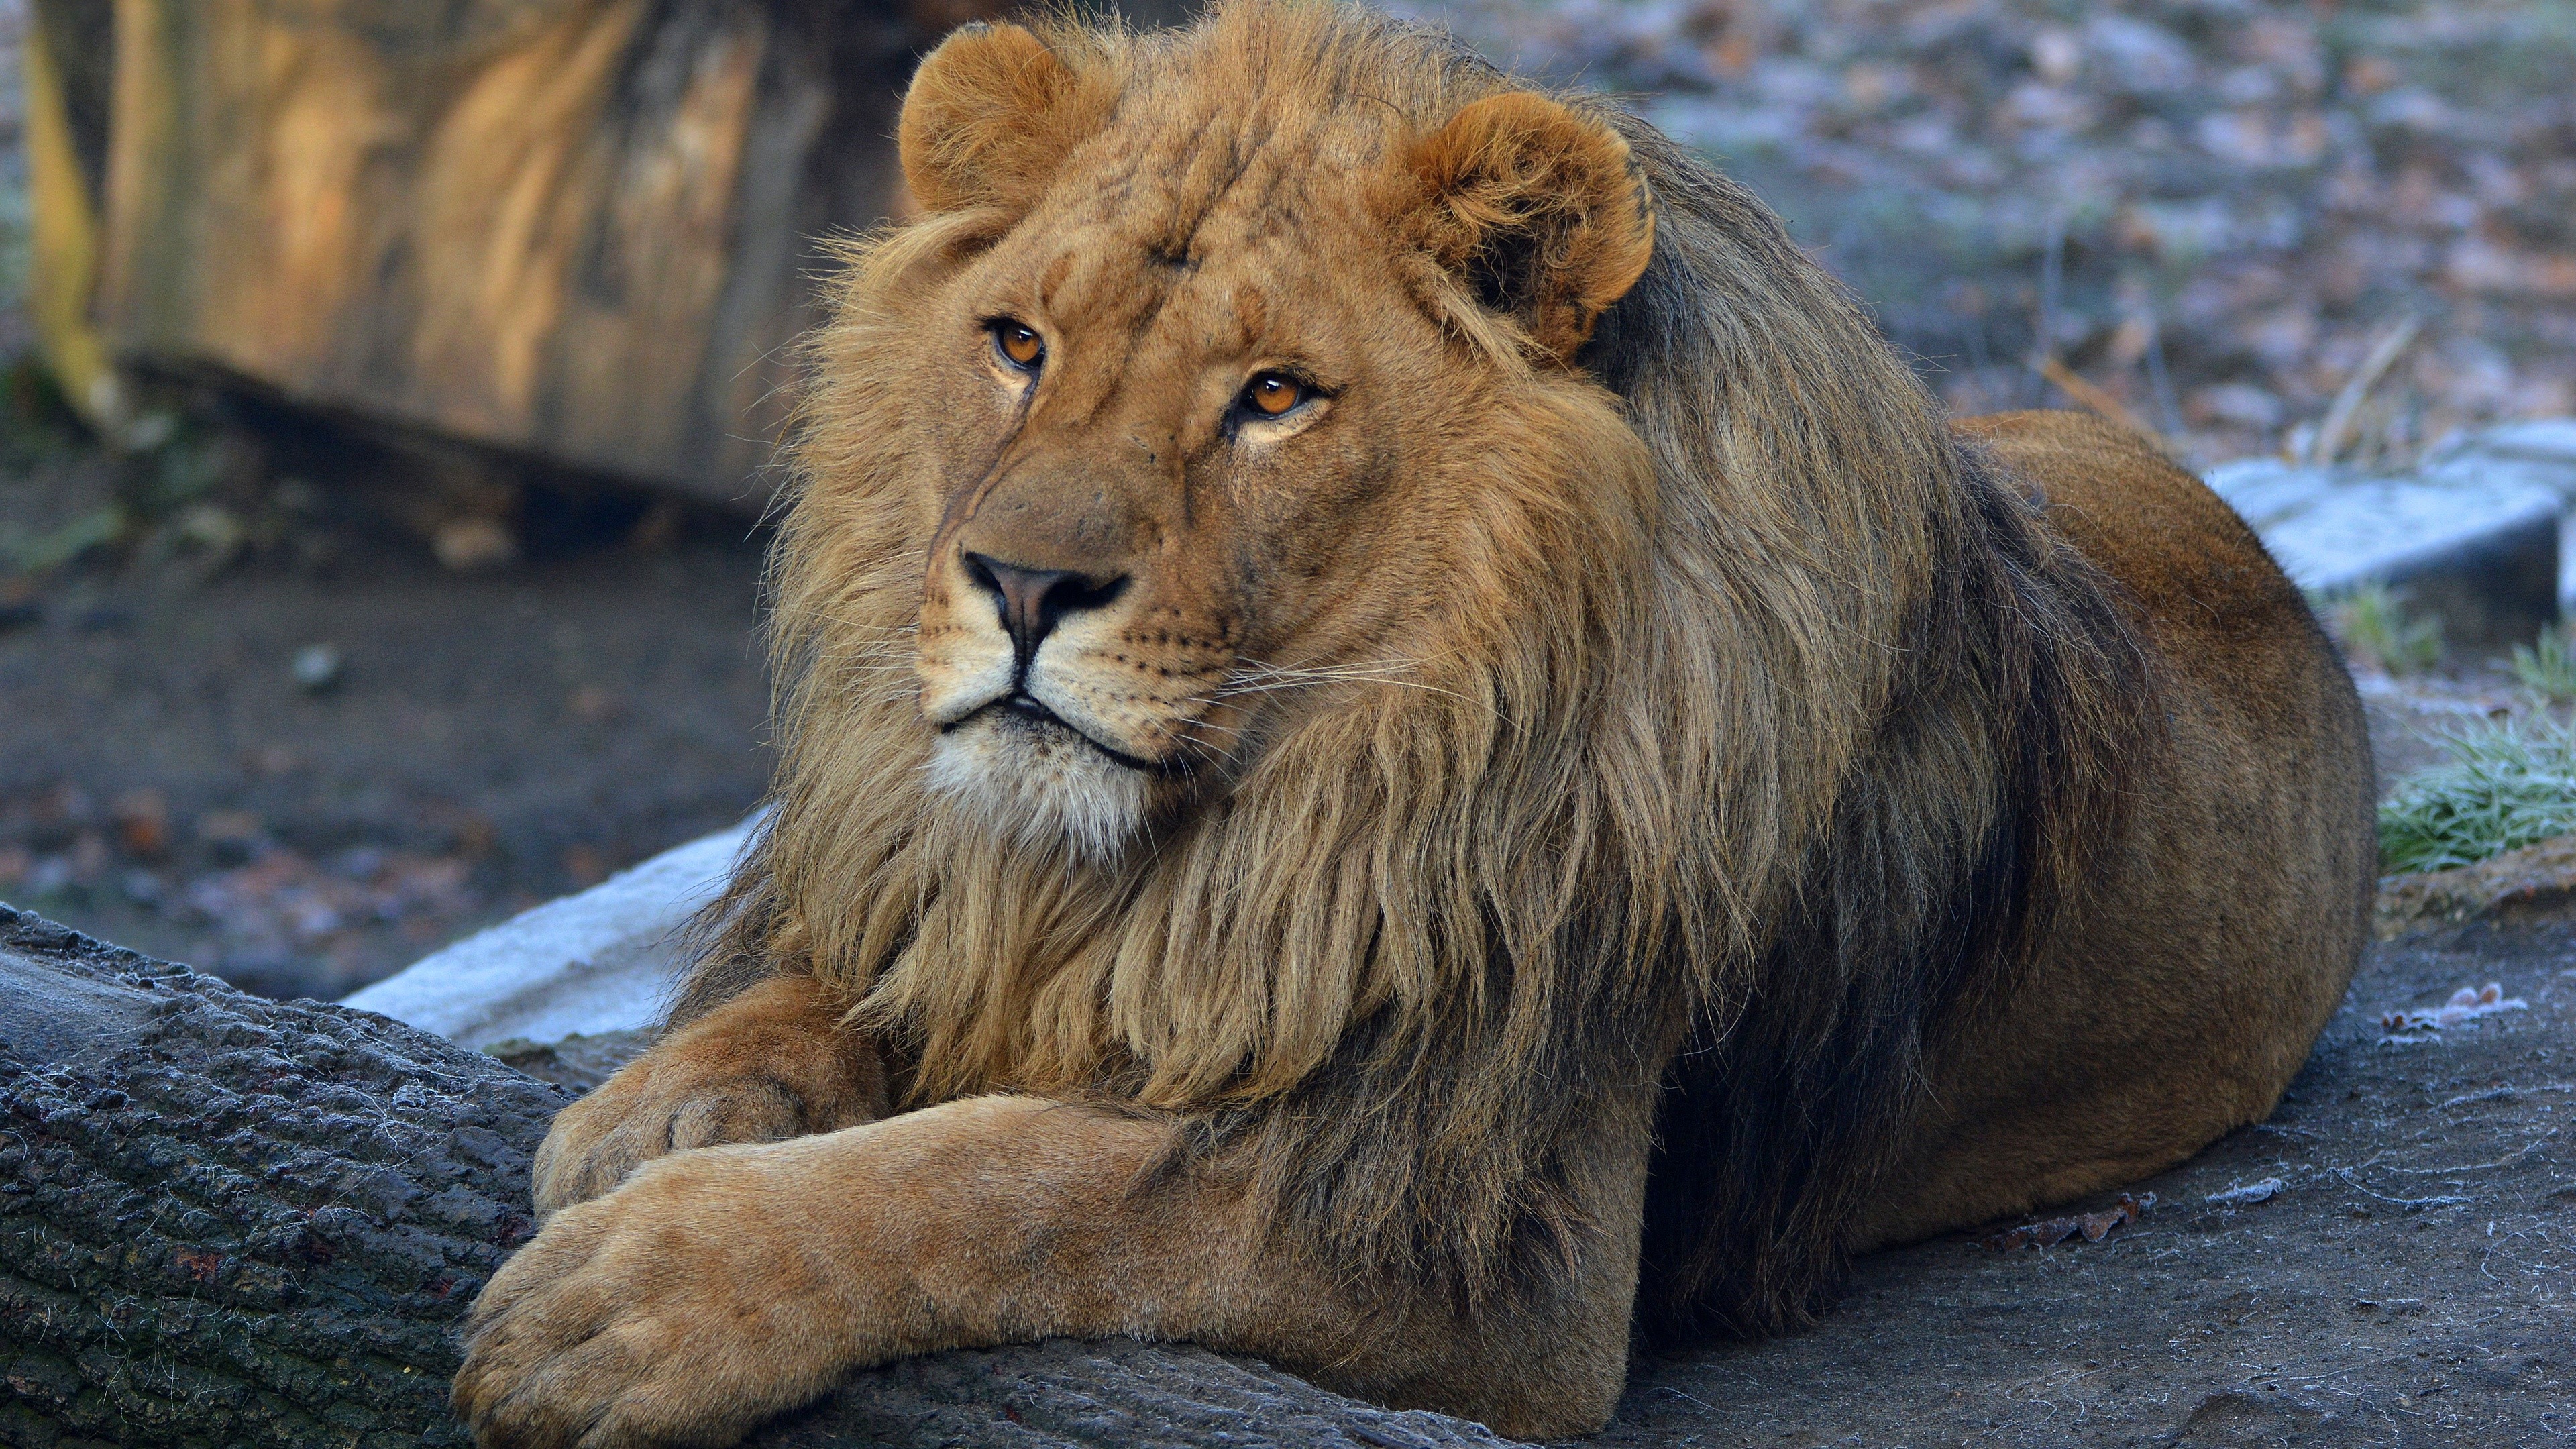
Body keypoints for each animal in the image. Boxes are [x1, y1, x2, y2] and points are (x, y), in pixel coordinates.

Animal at [452, 3, 2374, 1443]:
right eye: (1016, 343)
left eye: (1274, 399)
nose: (1018, 584)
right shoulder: (959, 897)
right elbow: (835, 980)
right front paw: (656, 1115)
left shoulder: (1484, 1228)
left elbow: (1014, 1180)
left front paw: (641, 1291)